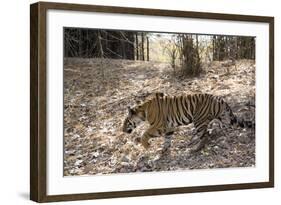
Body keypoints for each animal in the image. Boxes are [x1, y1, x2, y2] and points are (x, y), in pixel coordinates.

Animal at [121, 93, 253, 152]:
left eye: (126, 122)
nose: (122, 130)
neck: (143, 112)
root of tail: (219, 98)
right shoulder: (169, 127)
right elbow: (167, 139)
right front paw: (164, 150)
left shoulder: (159, 126)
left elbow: (145, 133)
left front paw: (147, 146)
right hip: (222, 117)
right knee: (223, 127)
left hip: (199, 120)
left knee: (205, 136)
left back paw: (195, 149)